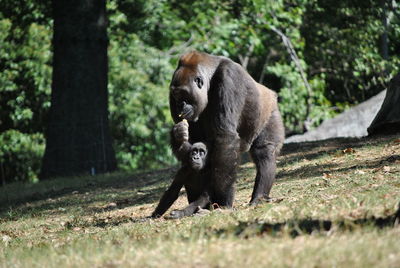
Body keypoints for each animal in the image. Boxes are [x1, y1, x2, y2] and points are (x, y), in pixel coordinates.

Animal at [152, 51, 282, 219]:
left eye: (183, 94)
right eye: (175, 95)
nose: (180, 105)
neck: (210, 75)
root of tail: (271, 93)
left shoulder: (229, 78)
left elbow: (225, 138)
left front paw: (222, 201)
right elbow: (190, 148)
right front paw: (178, 134)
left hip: (271, 112)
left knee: (264, 153)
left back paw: (259, 197)